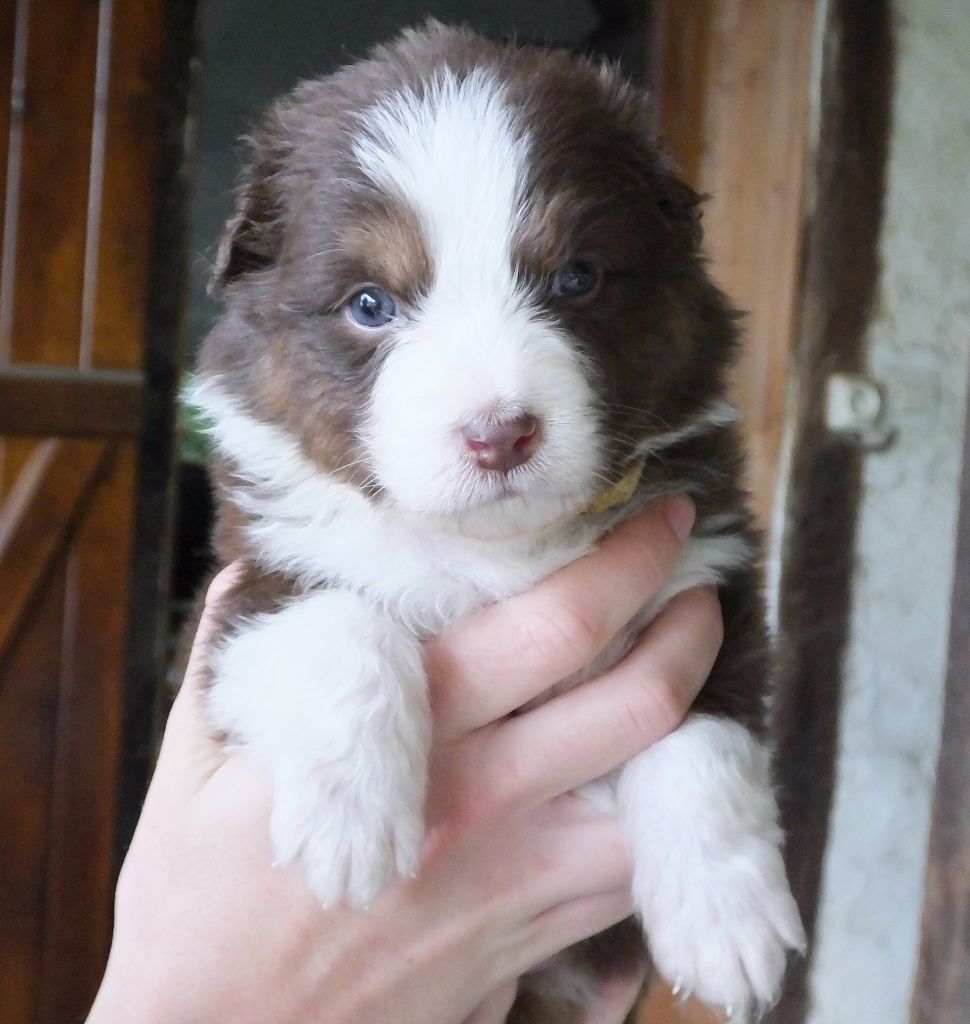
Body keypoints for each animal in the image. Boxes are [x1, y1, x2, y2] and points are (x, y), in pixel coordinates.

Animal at [187, 19, 803, 1019]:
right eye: (371, 304)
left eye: (577, 277)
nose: (499, 433)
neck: (494, 553)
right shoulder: (250, 580)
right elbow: (338, 619)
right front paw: (351, 825)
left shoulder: (709, 581)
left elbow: (704, 736)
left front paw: (729, 923)